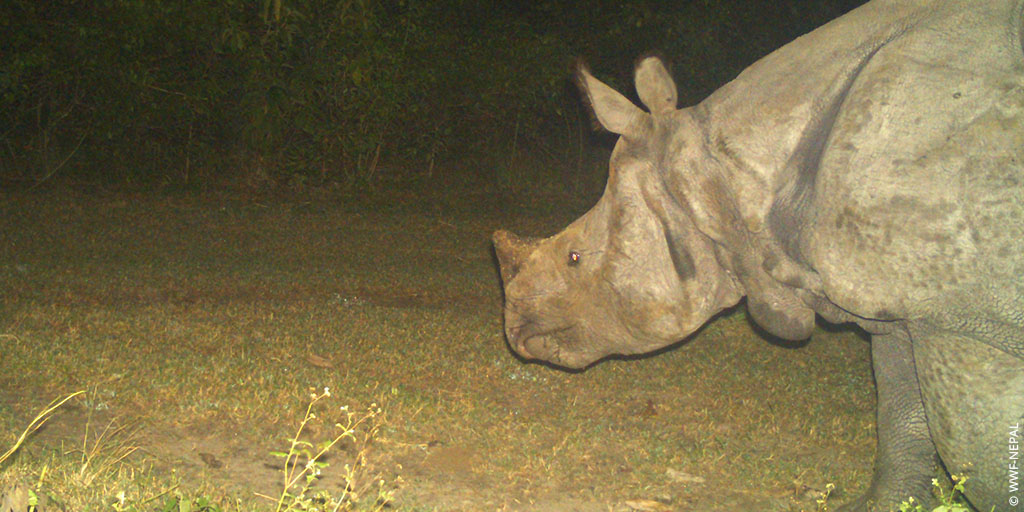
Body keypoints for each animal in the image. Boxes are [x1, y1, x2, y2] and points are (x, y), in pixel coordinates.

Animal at [493, 1, 1024, 510]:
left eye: (574, 258)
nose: (516, 332)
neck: (727, 174)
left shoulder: (958, 319)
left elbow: (979, 452)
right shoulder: (903, 304)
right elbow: (902, 413)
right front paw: (884, 503)